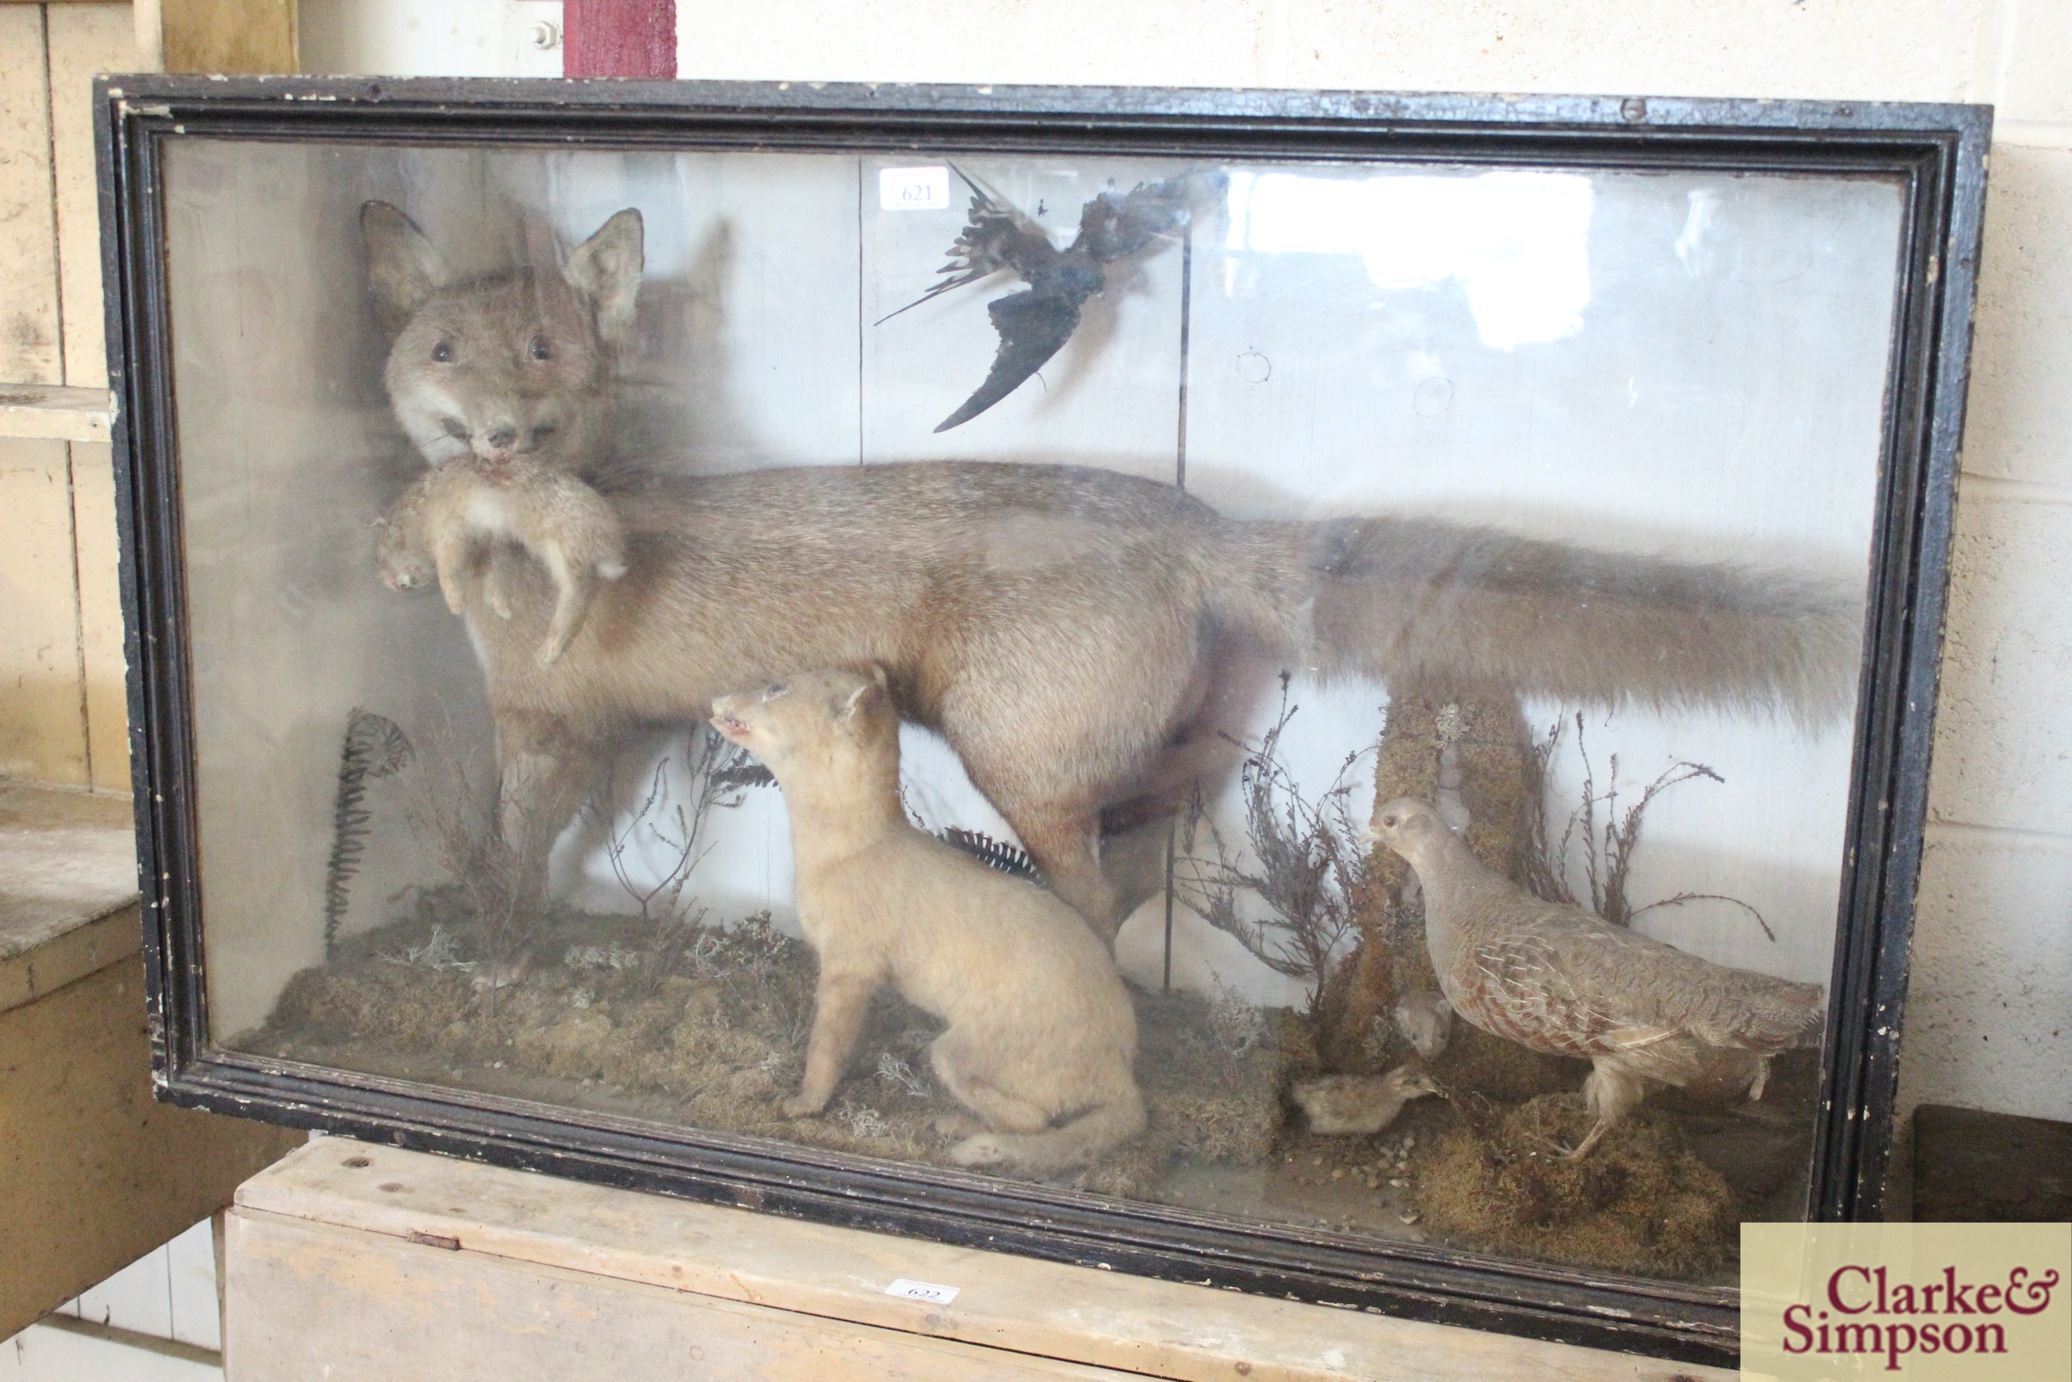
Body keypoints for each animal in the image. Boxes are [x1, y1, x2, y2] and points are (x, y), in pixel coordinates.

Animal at [375, 455, 625, 667]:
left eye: (380, 558)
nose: (394, 587)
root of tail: (613, 551)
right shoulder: (487, 543)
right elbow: (493, 577)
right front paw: (502, 609)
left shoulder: (450, 532)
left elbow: (448, 572)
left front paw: (456, 605)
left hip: (562, 552)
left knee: (577, 595)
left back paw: (547, 652)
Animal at [708, 667, 1135, 1168]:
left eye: (776, 687)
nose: (715, 699)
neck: (842, 855)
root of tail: (1122, 1069)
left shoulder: (850, 963)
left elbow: (826, 1046)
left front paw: (803, 1104)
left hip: (958, 1051)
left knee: (1036, 1120)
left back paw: (961, 1126)